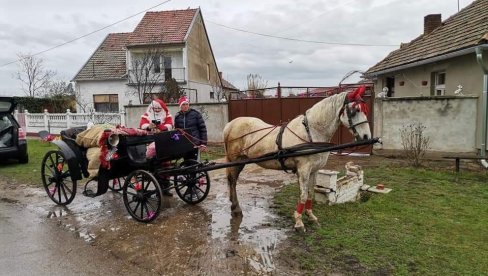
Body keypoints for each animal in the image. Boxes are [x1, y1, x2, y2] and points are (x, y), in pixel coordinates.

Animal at [223, 85, 372, 231]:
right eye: (356, 110)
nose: (366, 137)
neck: (312, 132)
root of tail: (230, 125)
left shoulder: (314, 170)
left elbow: (310, 193)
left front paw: (310, 216)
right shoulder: (304, 169)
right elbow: (303, 195)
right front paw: (299, 222)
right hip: (236, 160)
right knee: (233, 181)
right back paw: (236, 208)